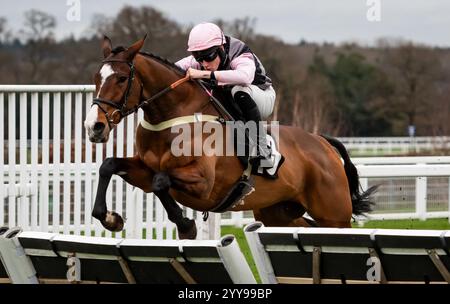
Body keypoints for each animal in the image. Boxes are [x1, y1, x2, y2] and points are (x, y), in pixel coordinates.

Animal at [85, 35, 376, 239]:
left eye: (122, 79)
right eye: (96, 78)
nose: (94, 126)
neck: (173, 116)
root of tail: (323, 143)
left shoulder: (203, 181)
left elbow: (160, 181)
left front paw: (186, 225)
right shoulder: (144, 171)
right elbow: (109, 165)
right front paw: (110, 218)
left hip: (334, 217)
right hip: (278, 213)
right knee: (302, 225)